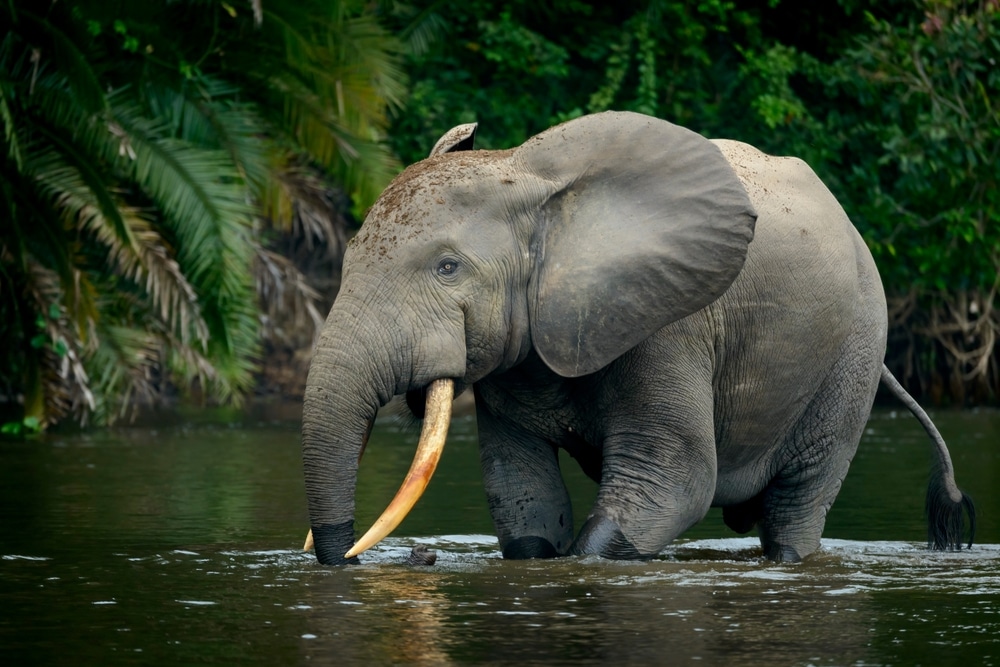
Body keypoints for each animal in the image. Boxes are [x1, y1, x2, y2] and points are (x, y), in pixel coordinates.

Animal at [301, 111, 974, 566]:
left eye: (448, 268)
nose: (348, 558)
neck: (527, 175)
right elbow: (523, 494)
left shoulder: (670, 322)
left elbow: (673, 482)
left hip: (854, 350)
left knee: (796, 508)